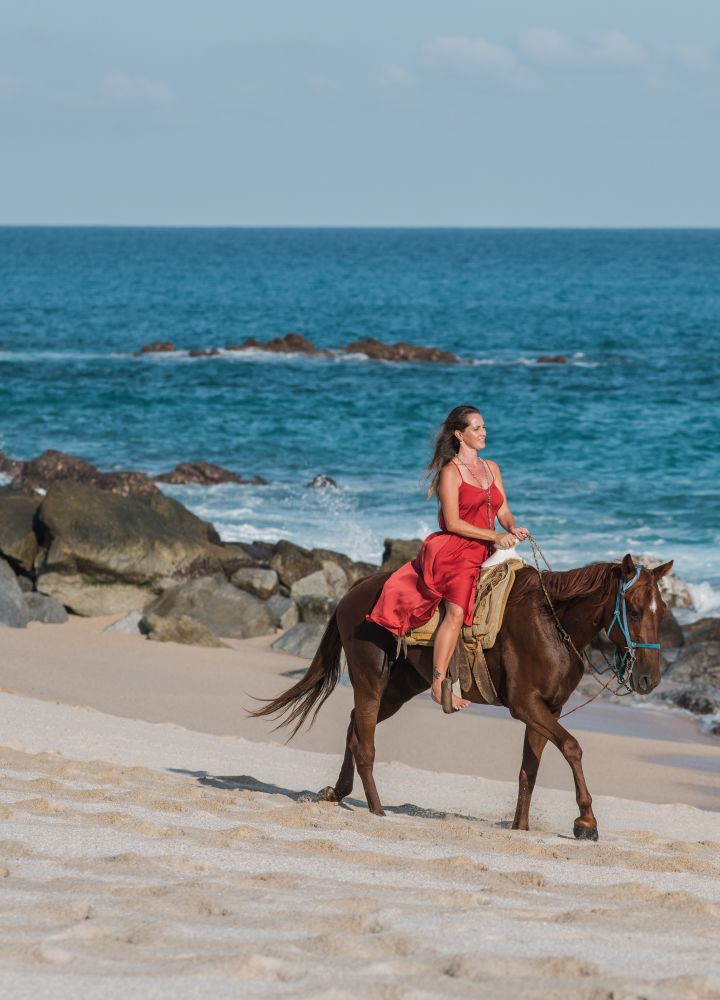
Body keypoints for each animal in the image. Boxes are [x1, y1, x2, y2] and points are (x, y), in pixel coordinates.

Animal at [252, 553, 673, 840]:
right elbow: (572, 748)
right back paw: (377, 810)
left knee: (356, 728)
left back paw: (338, 792)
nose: (649, 679)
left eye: (662, 612)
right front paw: (586, 821)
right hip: (371, 680)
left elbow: (529, 770)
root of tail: (353, 592)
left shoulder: (547, 709)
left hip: (400, 689)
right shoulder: (525, 706)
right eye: (634, 611)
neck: (553, 623)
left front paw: (520, 827)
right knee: (366, 744)